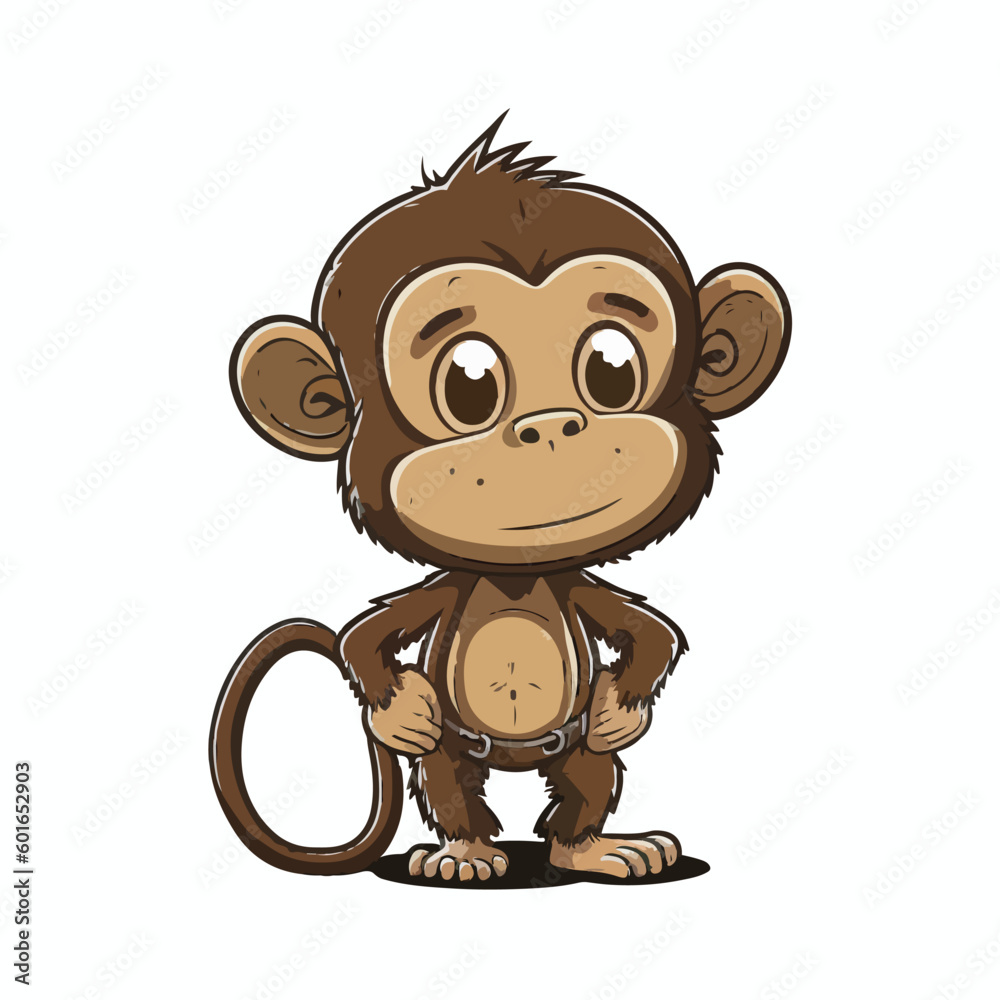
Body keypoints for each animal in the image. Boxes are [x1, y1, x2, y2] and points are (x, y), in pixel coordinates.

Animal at [210, 113, 790, 882]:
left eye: (612, 369)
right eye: (469, 384)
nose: (550, 427)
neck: (517, 577)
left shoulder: (573, 582)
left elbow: (651, 633)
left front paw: (622, 708)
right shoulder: (447, 586)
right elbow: (365, 638)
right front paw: (400, 709)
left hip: (573, 760)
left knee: (588, 774)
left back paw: (595, 848)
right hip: (453, 761)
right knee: (447, 781)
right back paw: (463, 854)